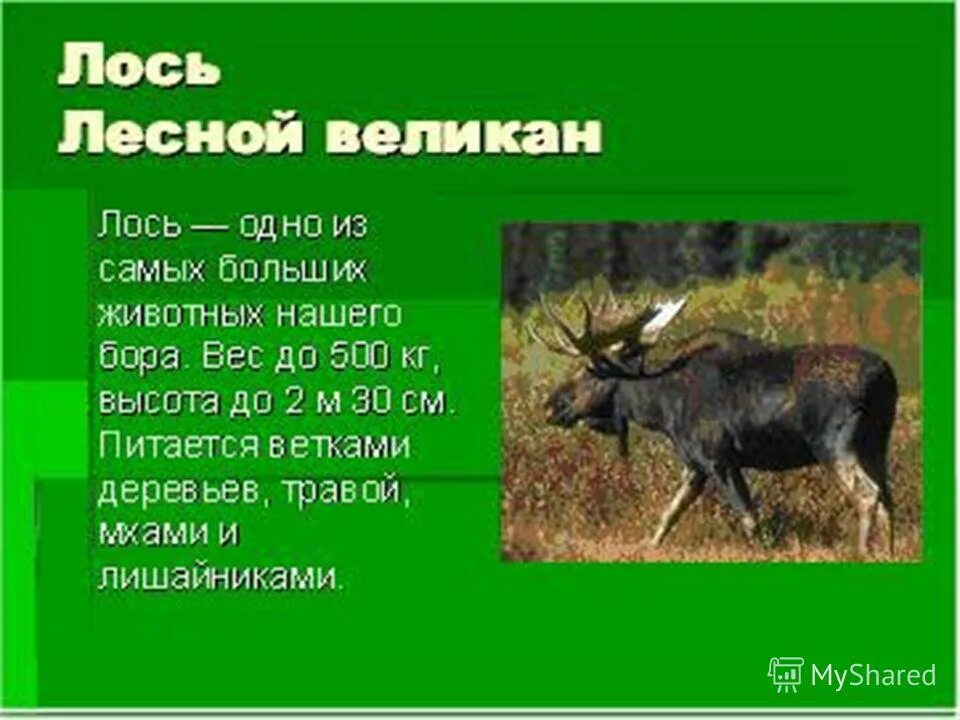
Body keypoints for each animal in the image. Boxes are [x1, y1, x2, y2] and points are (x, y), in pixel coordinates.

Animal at [528, 292, 897, 555]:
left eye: (591, 372)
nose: (550, 406)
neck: (660, 407)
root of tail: (885, 377)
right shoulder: (694, 465)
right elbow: (669, 513)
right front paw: (647, 547)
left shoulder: (718, 459)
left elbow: (748, 518)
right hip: (876, 445)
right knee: (887, 498)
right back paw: (888, 553)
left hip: (834, 445)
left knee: (867, 495)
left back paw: (862, 553)